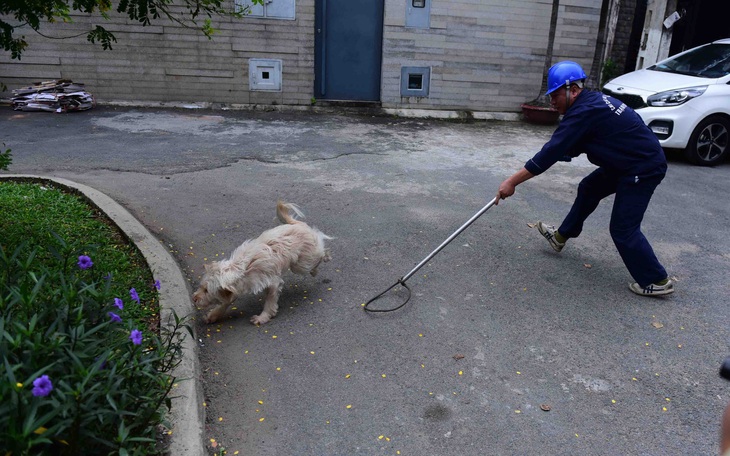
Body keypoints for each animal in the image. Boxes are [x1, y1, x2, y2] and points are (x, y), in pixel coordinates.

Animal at [192, 201, 332, 326]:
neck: (242, 269)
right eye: (201, 287)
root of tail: (298, 225)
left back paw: (323, 260)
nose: (194, 299)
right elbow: (226, 301)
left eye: (206, 290)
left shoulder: (273, 282)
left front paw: (263, 317)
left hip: (302, 264)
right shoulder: (237, 287)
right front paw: (213, 315)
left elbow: (269, 302)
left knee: (320, 249)